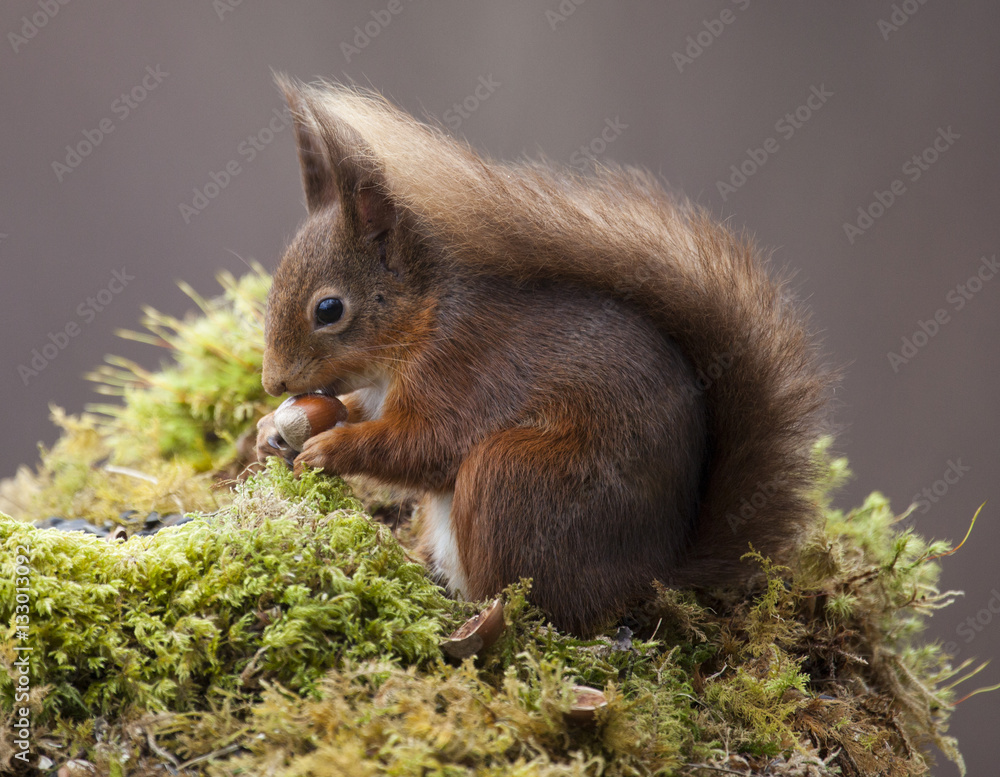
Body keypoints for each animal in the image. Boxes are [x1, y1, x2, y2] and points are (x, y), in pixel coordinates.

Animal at [255, 77, 832, 636]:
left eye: (329, 309)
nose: (272, 383)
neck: (424, 319)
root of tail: (651, 573)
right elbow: (359, 412)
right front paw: (270, 430)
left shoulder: (463, 368)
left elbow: (424, 444)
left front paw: (330, 450)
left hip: (517, 475)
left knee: (526, 599)